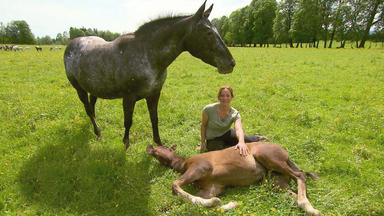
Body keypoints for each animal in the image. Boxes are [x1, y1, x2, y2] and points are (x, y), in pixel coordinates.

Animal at [63, 0, 234, 149]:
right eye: (208, 32)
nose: (231, 63)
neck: (147, 55)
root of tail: (71, 45)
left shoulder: (154, 94)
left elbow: (154, 118)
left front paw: (159, 143)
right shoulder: (128, 98)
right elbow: (128, 121)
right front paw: (125, 145)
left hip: (94, 88)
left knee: (92, 106)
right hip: (79, 89)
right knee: (88, 109)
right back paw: (98, 133)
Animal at [146, 142, 322, 216]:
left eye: (163, 147)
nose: (150, 148)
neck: (184, 163)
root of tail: (286, 155)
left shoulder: (201, 167)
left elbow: (175, 185)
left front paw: (219, 202)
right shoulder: (212, 188)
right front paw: (229, 203)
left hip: (269, 158)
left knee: (300, 176)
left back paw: (311, 209)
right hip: (276, 181)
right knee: (291, 192)